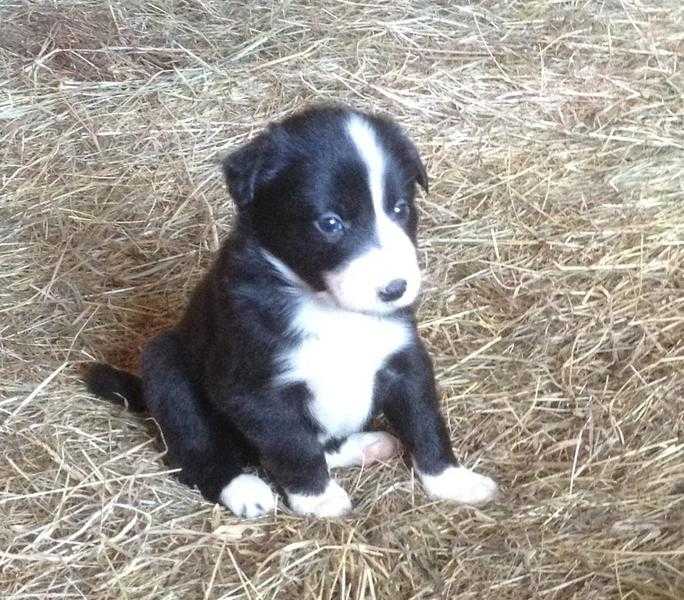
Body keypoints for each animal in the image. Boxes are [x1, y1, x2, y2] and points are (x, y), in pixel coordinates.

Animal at [88, 105, 500, 516]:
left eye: (400, 209)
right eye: (330, 223)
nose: (395, 289)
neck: (330, 309)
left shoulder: (405, 361)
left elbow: (424, 422)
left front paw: (452, 480)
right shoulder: (256, 390)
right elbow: (292, 445)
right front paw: (318, 498)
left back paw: (366, 446)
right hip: (166, 367)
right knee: (195, 455)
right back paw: (243, 489)